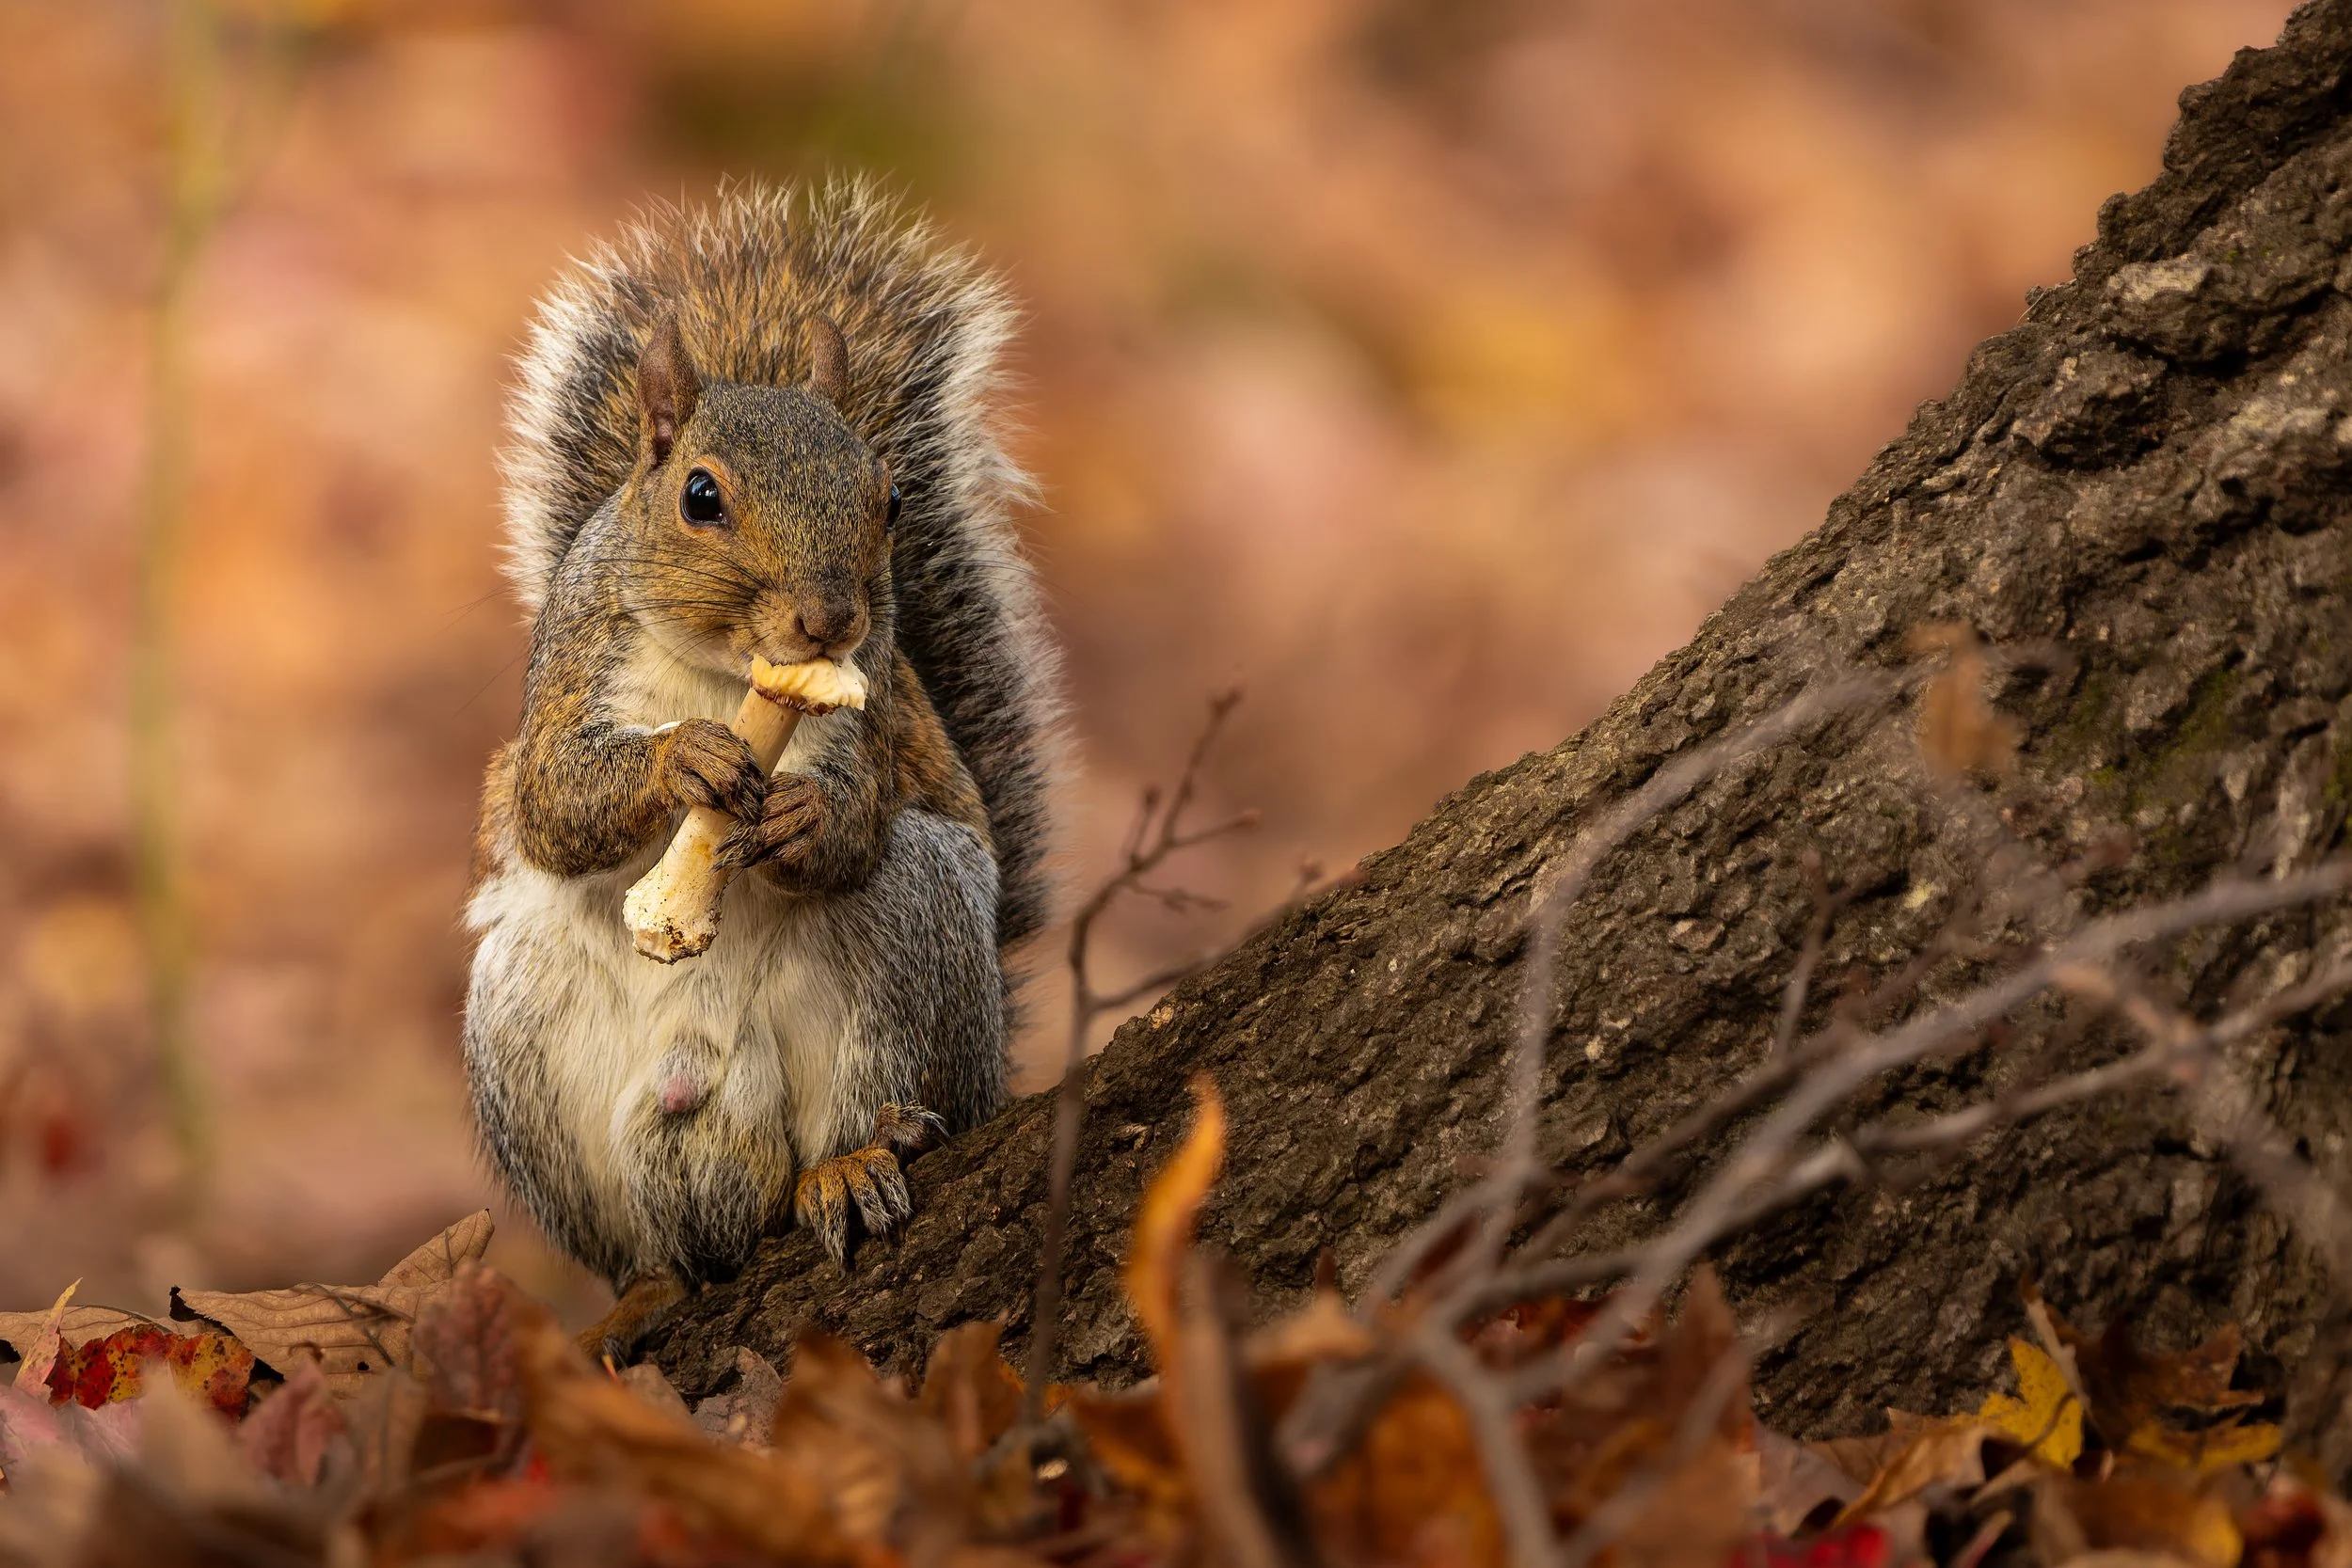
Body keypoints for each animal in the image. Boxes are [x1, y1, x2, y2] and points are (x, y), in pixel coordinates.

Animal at [462, 181, 1061, 1357]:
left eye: (889, 499)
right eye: (700, 496)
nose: (827, 617)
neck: (722, 673)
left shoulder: (873, 714)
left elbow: (858, 819)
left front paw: (798, 818)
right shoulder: (569, 671)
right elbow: (552, 803)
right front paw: (682, 759)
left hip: (912, 939)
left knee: (861, 1108)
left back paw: (850, 1165)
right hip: (525, 1032)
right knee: (659, 1252)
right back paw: (647, 1288)